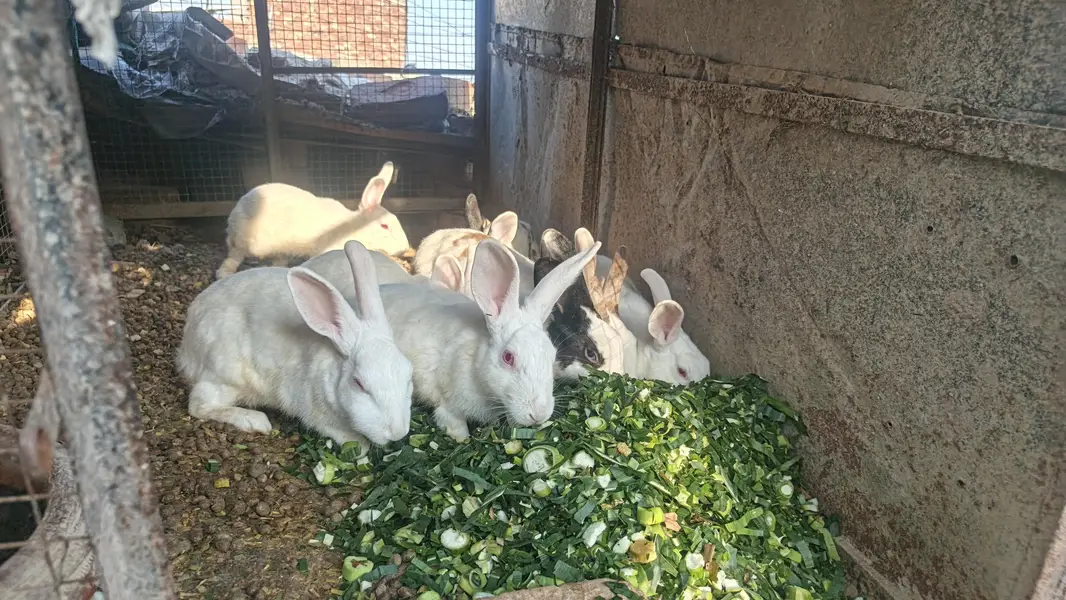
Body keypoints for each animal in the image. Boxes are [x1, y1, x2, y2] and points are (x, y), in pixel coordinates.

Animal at [178, 240, 414, 448]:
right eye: (359, 384)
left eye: (409, 377)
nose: (397, 434)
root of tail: (187, 341)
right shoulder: (314, 412)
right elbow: (340, 434)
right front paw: (361, 448)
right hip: (225, 375)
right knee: (199, 405)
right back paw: (255, 420)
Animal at [215, 162, 409, 279]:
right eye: (384, 226)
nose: (405, 248)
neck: (354, 228)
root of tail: (232, 217)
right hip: (244, 243)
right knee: (232, 259)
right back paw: (224, 275)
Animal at [377, 238, 602, 440]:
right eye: (508, 357)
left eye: (552, 356)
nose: (538, 415)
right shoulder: (448, 406)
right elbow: (455, 426)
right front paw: (464, 440)